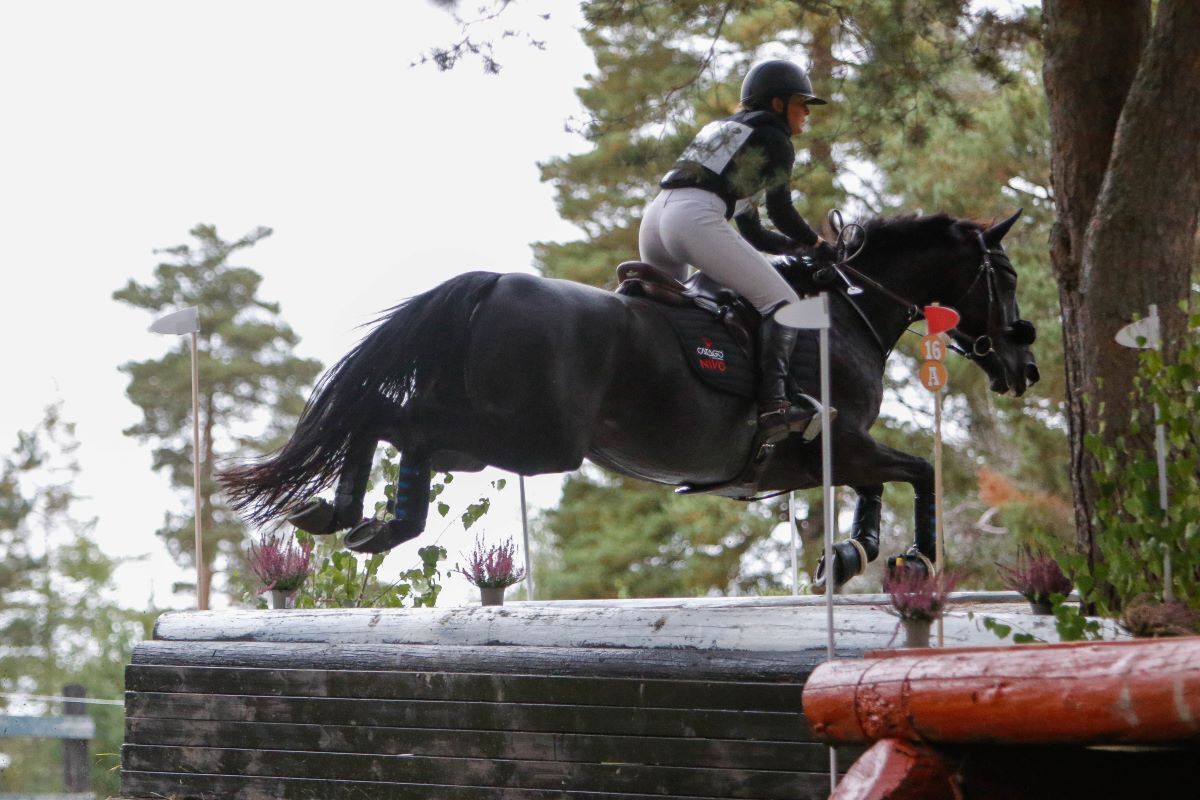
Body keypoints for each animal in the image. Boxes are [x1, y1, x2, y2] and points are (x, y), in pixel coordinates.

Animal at [220, 209, 1036, 592]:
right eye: (1006, 276)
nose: (1024, 365)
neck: (847, 310)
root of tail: (494, 283)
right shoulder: (832, 445)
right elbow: (916, 472)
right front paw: (912, 559)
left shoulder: (825, 458)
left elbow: (877, 487)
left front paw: (848, 556)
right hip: (531, 440)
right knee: (394, 422)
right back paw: (379, 520)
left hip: (490, 433)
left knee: (390, 424)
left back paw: (348, 514)